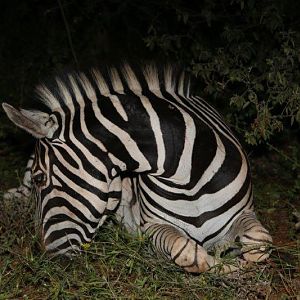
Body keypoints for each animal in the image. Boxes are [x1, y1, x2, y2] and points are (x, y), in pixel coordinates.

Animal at [1, 64, 272, 274]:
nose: (49, 263)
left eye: (41, 178)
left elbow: (259, 243)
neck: (188, 177)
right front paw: (229, 268)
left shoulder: (244, 212)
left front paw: (239, 263)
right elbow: (188, 252)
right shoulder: (153, 226)